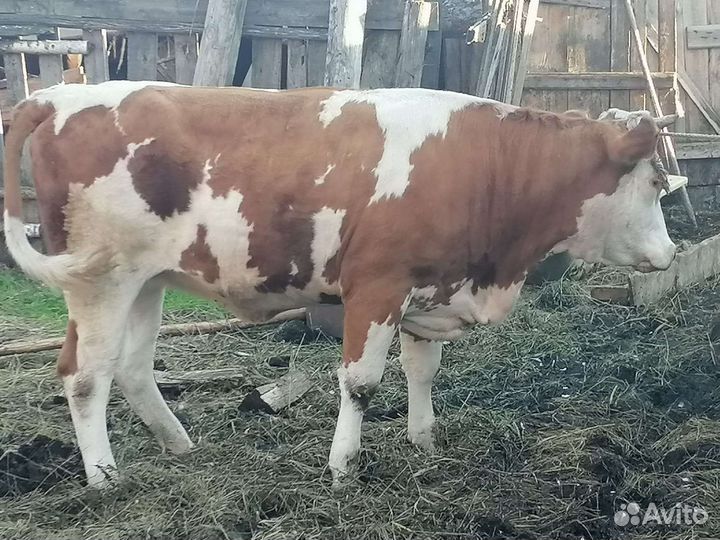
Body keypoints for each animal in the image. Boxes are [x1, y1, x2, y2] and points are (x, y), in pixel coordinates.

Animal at [3, 81, 677, 488]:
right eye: (653, 183)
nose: (670, 253)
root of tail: (60, 95)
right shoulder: (376, 286)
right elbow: (361, 382)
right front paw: (344, 466)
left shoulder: (427, 288)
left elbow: (421, 371)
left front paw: (425, 443)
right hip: (100, 279)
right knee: (84, 375)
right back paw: (104, 477)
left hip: (148, 279)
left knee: (133, 367)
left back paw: (178, 445)